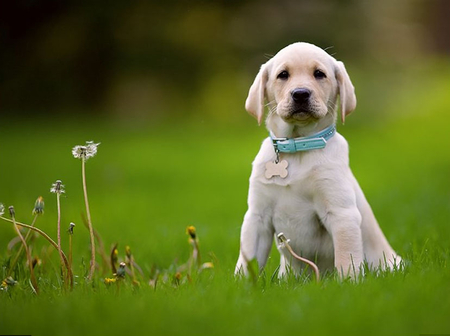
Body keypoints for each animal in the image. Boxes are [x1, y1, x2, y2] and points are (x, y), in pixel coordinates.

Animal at [236, 42, 400, 278]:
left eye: (319, 74)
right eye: (283, 75)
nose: (300, 94)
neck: (297, 144)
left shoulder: (342, 213)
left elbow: (346, 258)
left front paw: (348, 282)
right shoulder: (257, 217)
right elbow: (247, 259)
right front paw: (241, 283)